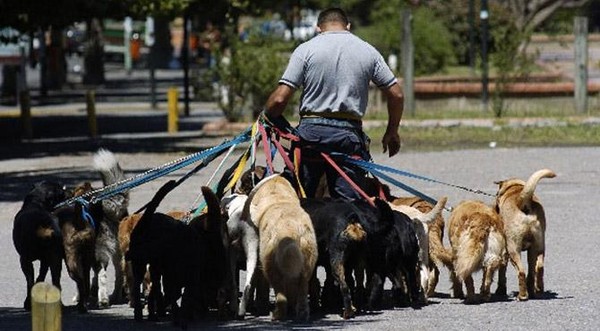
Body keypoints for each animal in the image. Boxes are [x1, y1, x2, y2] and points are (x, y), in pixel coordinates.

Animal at [12, 182, 67, 312]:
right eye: (61, 193)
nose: (68, 194)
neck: (36, 203)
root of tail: (44, 227)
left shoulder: (25, 260)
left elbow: (30, 281)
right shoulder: (45, 260)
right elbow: (40, 276)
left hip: (26, 259)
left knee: (30, 281)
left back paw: (28, 303)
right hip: (55, 258)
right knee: (56, 281)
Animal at [243, 174, 322, 322]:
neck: (278, 198)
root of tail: (289, 232)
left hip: (269, 262)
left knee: (280, 291)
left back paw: (277, 315)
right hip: (308, 260)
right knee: (303, 289)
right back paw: (302, 314)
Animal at [492, 169, 556, 300]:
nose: (495, 208)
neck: (514, 188)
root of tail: (522, 201)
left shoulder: (504, 252)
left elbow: (502, 273)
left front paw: (500, 291)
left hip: (513, 249)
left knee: (521, 272)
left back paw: (522, 296)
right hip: (539, 247)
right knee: (537, 269)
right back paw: (535, 291)